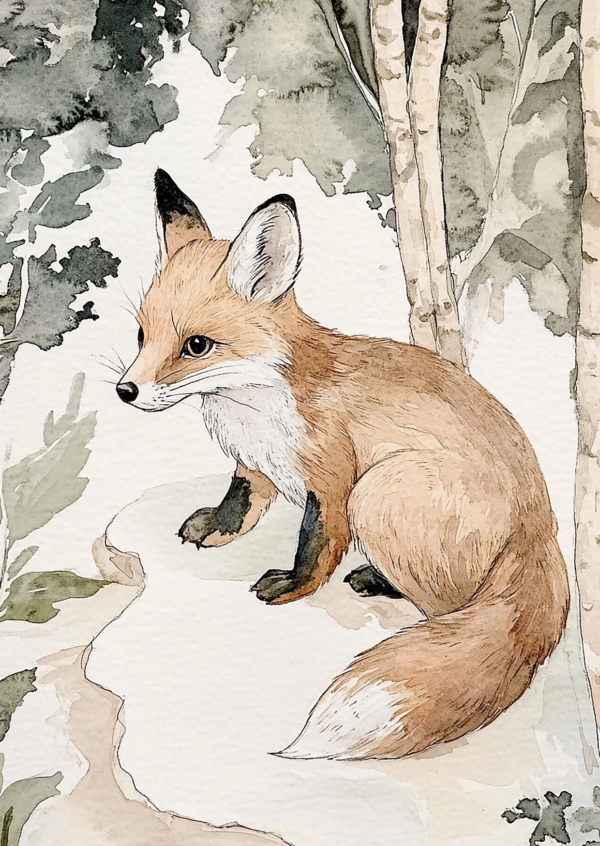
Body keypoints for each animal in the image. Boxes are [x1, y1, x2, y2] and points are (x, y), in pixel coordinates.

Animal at [115, 168, 570, 761]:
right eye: (141, 335)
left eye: (196, 345)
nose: (126, 391)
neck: (253, 406)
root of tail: (542, 528)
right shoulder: (255, 465)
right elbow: (238, 503)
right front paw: (214, 528)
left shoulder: (332, 483)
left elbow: (314, 547)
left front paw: (289, 587)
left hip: (378, 493)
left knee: (452, 613)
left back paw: (387, 586)